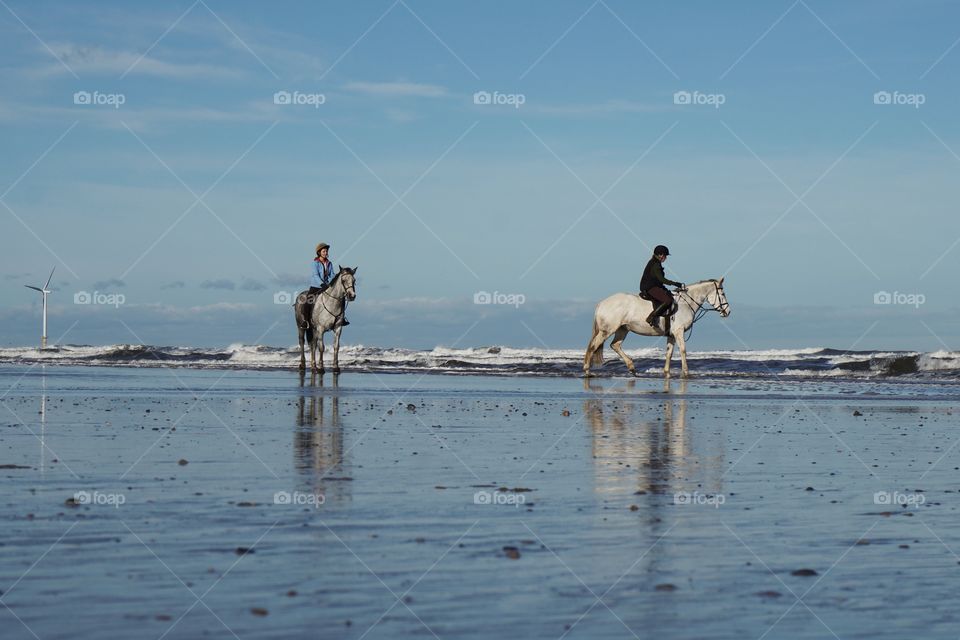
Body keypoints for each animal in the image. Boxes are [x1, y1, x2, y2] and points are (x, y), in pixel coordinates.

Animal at [584, 278, 728, 378]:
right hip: (607, 330)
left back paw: (631, 367)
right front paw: (686, 373)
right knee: (593, 346)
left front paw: (667, 373)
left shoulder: (671, 335)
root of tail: (602, 303)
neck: (686, 303)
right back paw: (587, 371)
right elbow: (683, 350)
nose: (727, 311)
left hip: (623, 329)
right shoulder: (679, 332)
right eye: (723, 294)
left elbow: (669, 353)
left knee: (615, 345)